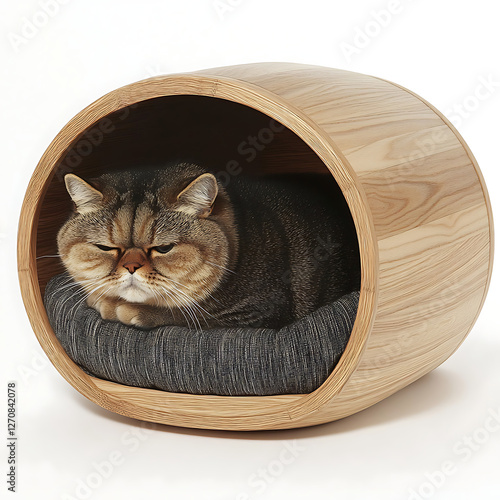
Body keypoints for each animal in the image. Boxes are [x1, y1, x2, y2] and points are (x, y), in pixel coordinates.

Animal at [58, 162, 360, 330]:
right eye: (105, 247)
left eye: (164, 248)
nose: (131, 267)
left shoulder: (257, 313)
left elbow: (190, 316)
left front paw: (117, 306)